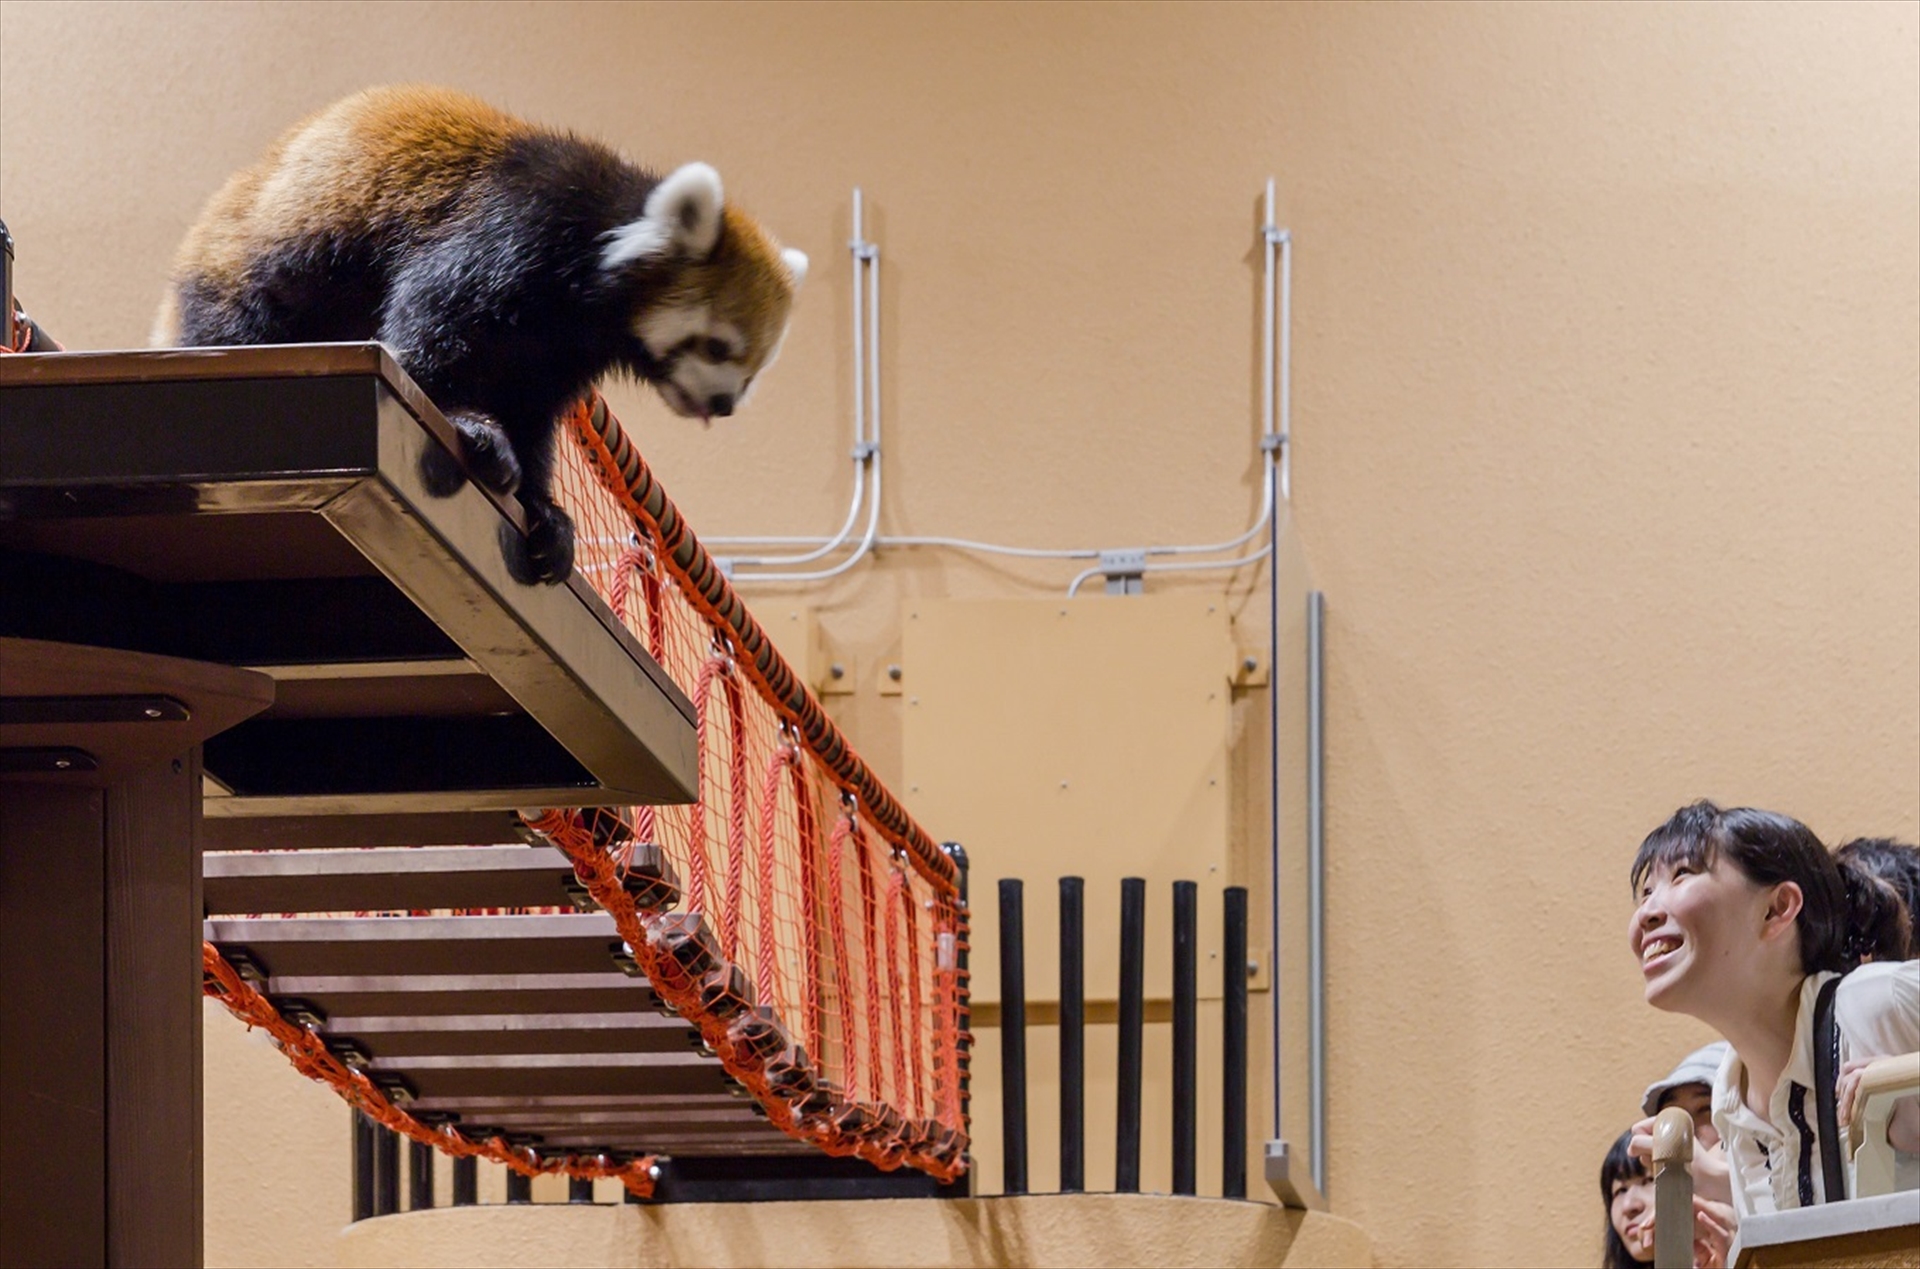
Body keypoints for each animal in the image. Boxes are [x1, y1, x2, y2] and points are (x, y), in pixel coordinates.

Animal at [153, 87, 806, 583]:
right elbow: (431, 321)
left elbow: (534, 409)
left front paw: (544, 508)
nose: (724, 403)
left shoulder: (560, 347)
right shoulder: (513, 229)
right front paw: (468, 421)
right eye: (717, 346)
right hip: (253, 273)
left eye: (751, 374)